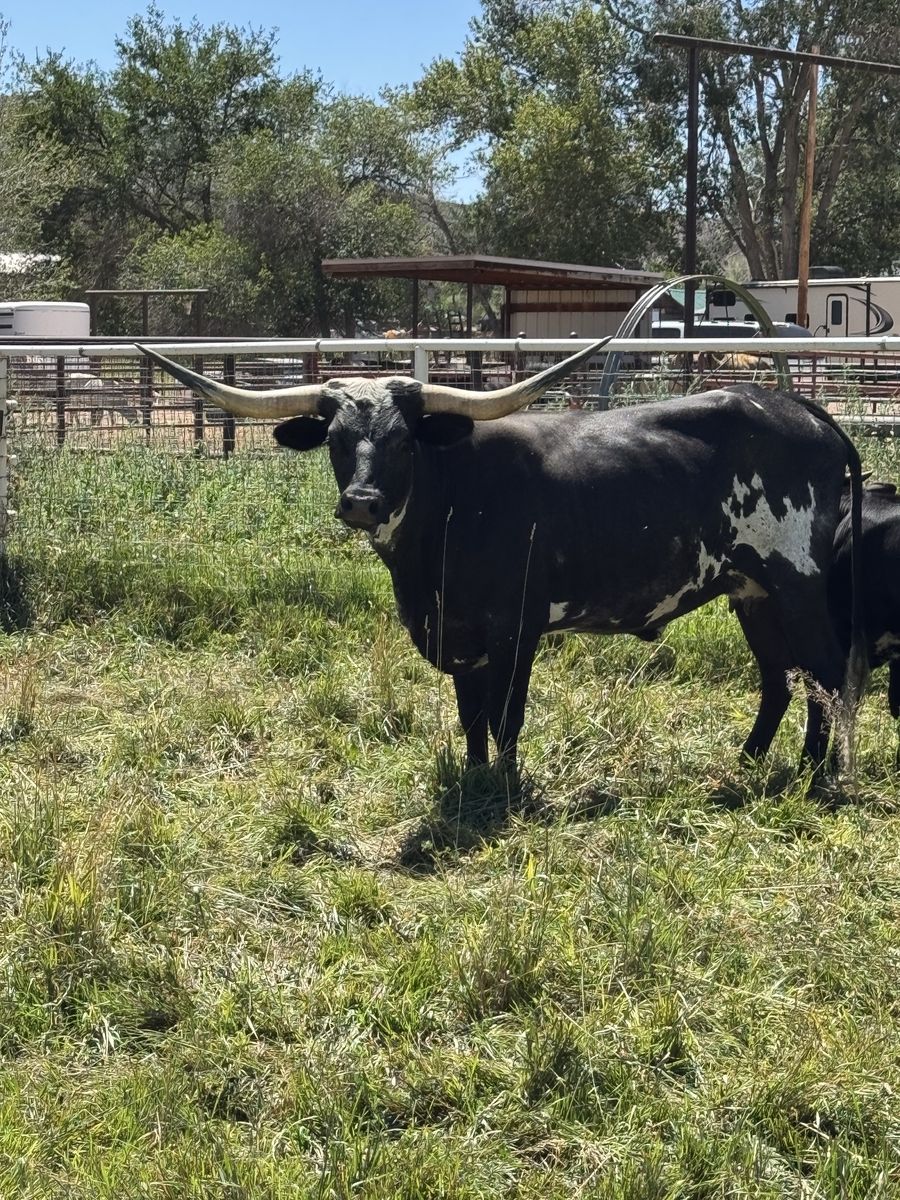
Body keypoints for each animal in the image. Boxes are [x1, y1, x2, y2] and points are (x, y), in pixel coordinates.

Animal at [137, 341, 864, 775]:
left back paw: (817, 775)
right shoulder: (458, 637)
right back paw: (750, 764)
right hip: (753, 592)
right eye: (338, 441)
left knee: (828, 676)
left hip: (796, 583)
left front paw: (508, 786)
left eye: (403, 441)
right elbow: (472, 716)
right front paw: (477, 775)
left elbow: (508, 716)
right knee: (783, 679)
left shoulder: (518, 630)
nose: (363, 503)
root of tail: (803, 409)